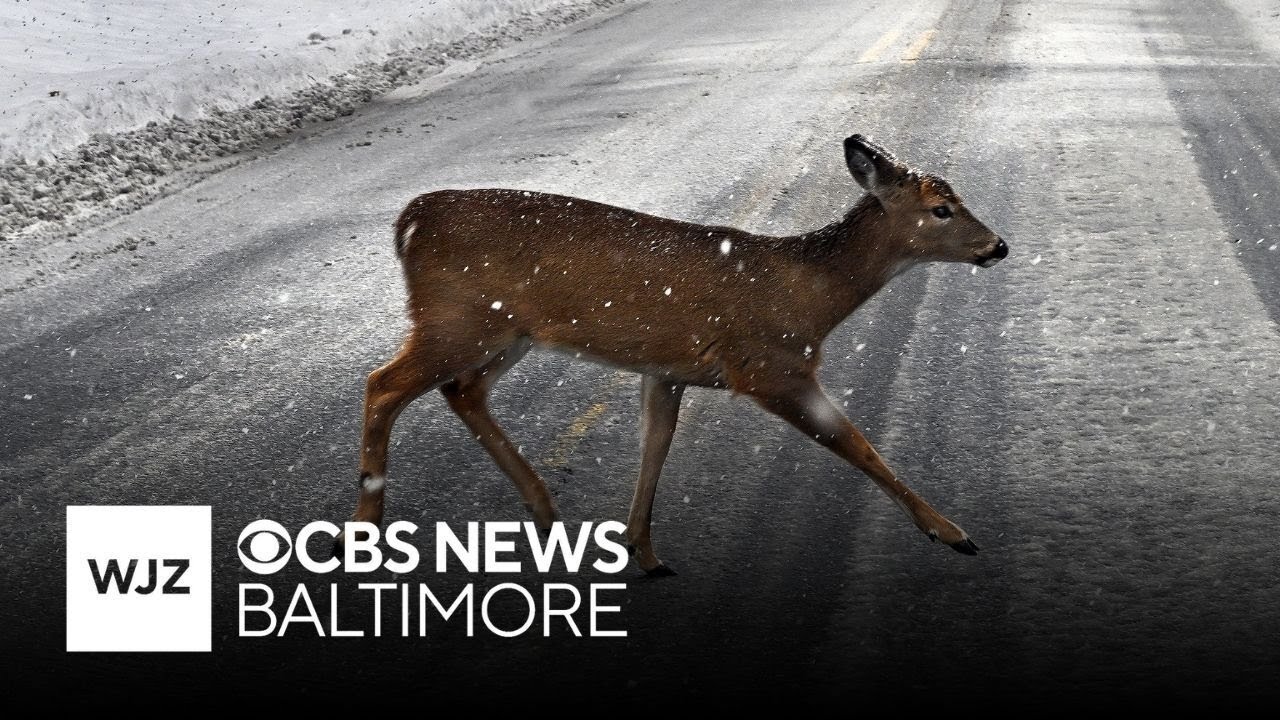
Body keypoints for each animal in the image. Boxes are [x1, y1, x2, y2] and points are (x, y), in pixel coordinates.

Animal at [343, 134, 1008, 575]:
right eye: (941, 209)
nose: (998, 245)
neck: (809, 295)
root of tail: (408, 222)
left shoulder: (667, 371)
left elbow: (656, 444)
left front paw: (641, 549)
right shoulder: (766, 364)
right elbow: (853, 442)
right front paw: (953, 533)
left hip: (507, 333)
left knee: (462, 390)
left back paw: (544, 510)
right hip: (458, 320)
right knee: (384, 383)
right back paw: (362, 530)